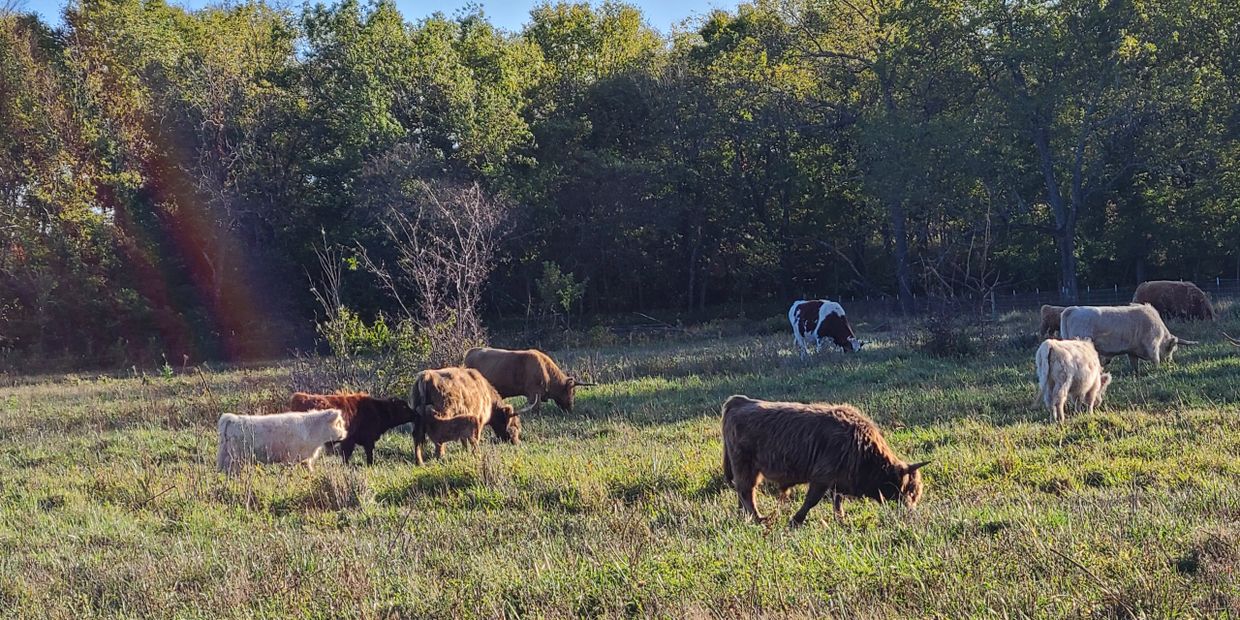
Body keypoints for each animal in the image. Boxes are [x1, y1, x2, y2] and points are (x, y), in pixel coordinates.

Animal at [215, 406, 347, 473]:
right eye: (339, 423)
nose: (345, 434)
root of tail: (232, 418)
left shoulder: (304, 459)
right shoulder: (290, 458)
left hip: (224, 454)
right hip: (235, 457)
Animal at [719, 394, 932, 525]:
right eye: (909, 491)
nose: (911, 513)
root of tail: (739, 401)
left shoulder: (838, 480)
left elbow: (838, 500)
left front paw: (841, 519)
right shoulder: (822, 477)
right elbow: (811, 501)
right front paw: (796, 520)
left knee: (742, 492)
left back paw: (744, 517)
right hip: (745, 465)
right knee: (746, 491)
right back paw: (758, 518)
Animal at [1061, 303, 1195, 372]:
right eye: (1171, 349)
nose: (1169, 363)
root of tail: (1074, 309)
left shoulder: (1132, 352)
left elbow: (1134, 365)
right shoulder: (1152, 345)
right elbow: (1155, 359)